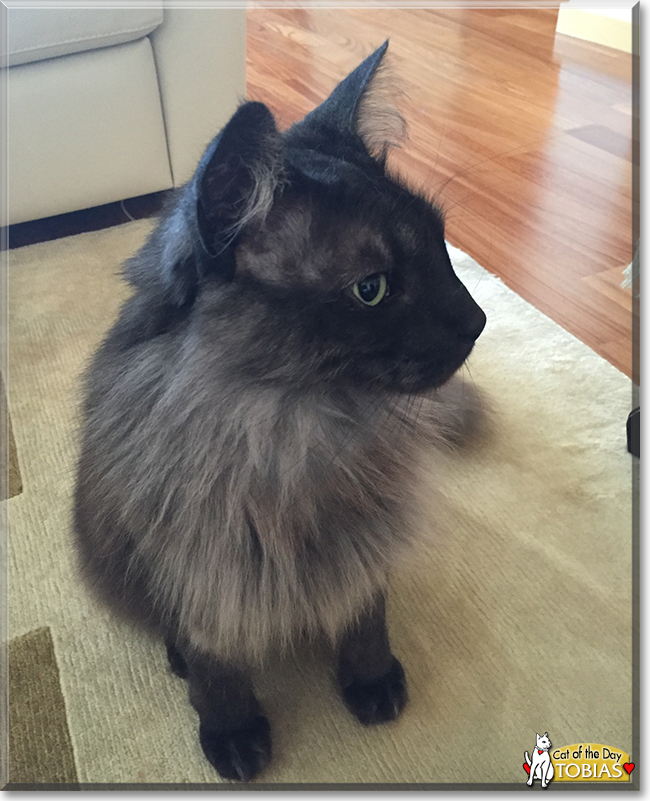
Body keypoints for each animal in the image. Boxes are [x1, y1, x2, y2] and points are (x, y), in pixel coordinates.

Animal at [73, 40, 484, 780]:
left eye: (442, 247)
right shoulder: (200, 565)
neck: (297, 425)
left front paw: (370, 680)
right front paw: (233, 732)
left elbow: (365, 616)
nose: (478, 320)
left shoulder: (364, 536)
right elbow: (216, 666)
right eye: (372, 290)